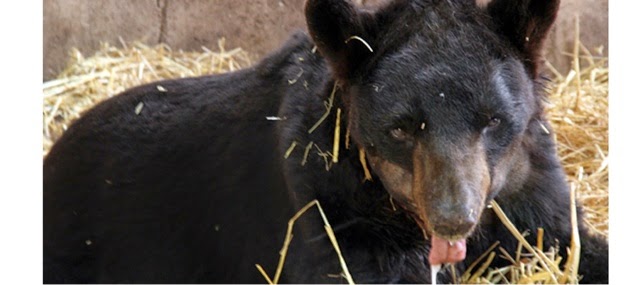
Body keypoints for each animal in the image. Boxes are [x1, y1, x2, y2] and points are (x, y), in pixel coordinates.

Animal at [43, 0, 608, 280]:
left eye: (492, 120)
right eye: (401, 126)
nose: (454, 216)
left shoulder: (528, 187)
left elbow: (566, 241)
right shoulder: (329, 204)